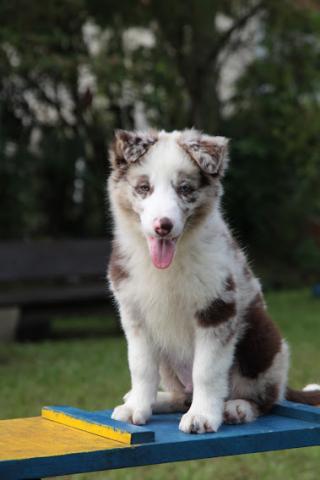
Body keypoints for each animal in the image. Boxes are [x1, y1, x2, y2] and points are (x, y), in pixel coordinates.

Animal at [107, 129, 318, 434]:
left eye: (185, 189)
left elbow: (205, 371)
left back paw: (237, 407)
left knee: (266, 398)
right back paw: (160, 399)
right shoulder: (135, 315)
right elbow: (141, 367)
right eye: (144, 188)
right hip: (169, 362)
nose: (163, 226)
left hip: (261, 339)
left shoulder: (218, 307)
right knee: (182, 394)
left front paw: (202, 416)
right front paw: (137, 407)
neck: (169, 265)